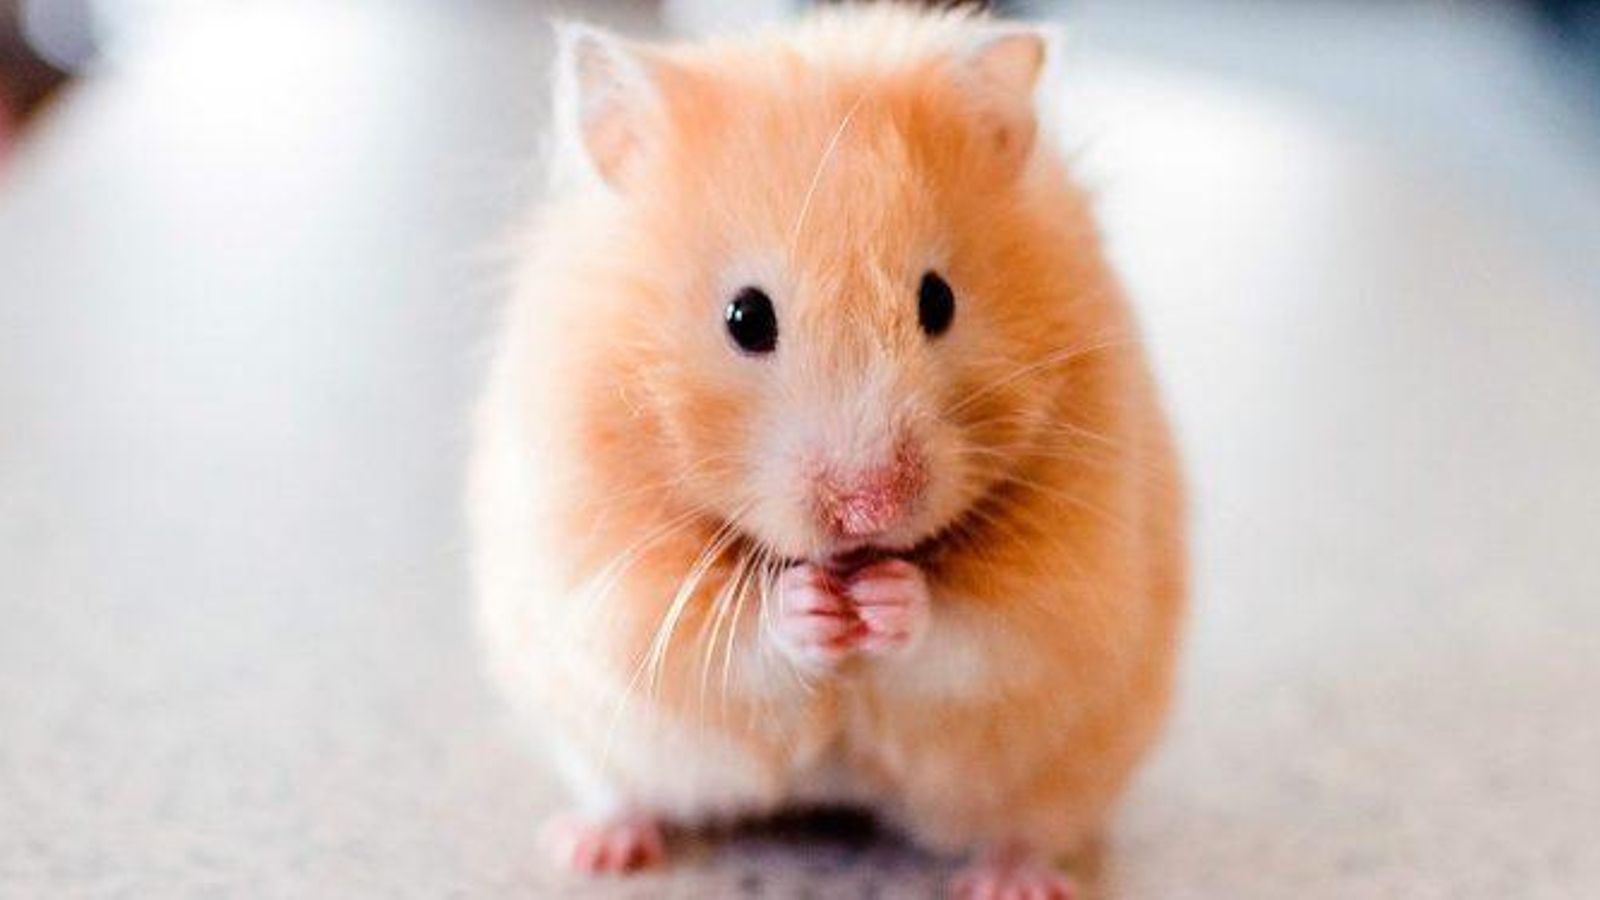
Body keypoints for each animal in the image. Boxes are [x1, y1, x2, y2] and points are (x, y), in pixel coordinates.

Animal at [469, 6, 1185, 898]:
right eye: (745, 317)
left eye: (938, 301)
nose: (870, 508)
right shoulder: (606, 574)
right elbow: (727, 640)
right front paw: (811, 605)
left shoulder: (1070, 588)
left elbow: (974, 634)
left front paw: (886, 597)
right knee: (623, 790)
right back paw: (594, 847)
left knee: (1027, 827)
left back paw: (1012, 880)